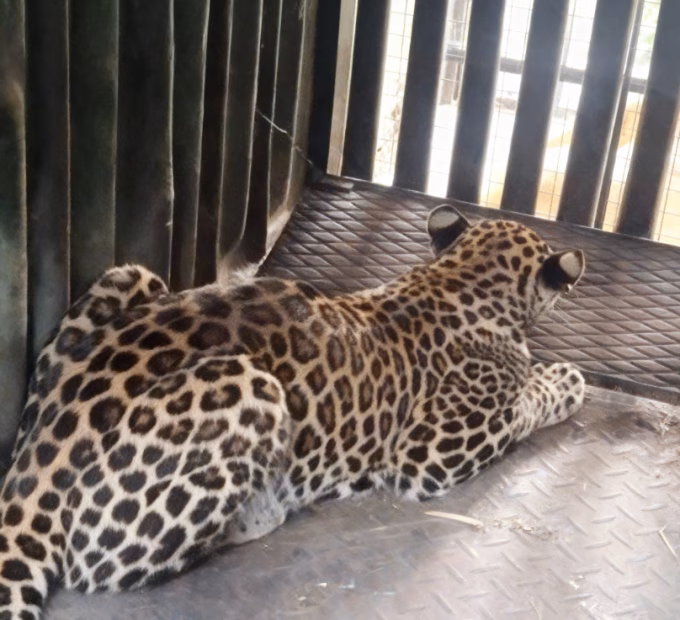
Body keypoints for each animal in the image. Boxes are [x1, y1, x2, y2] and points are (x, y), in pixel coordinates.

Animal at [0, 205, 586, 618]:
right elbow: (528, 401)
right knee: (106, 568)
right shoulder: (435, 450)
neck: (458, 277)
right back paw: (265, 508)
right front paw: (565, 379)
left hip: (131, 278)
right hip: (248, 387)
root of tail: (32, 464)